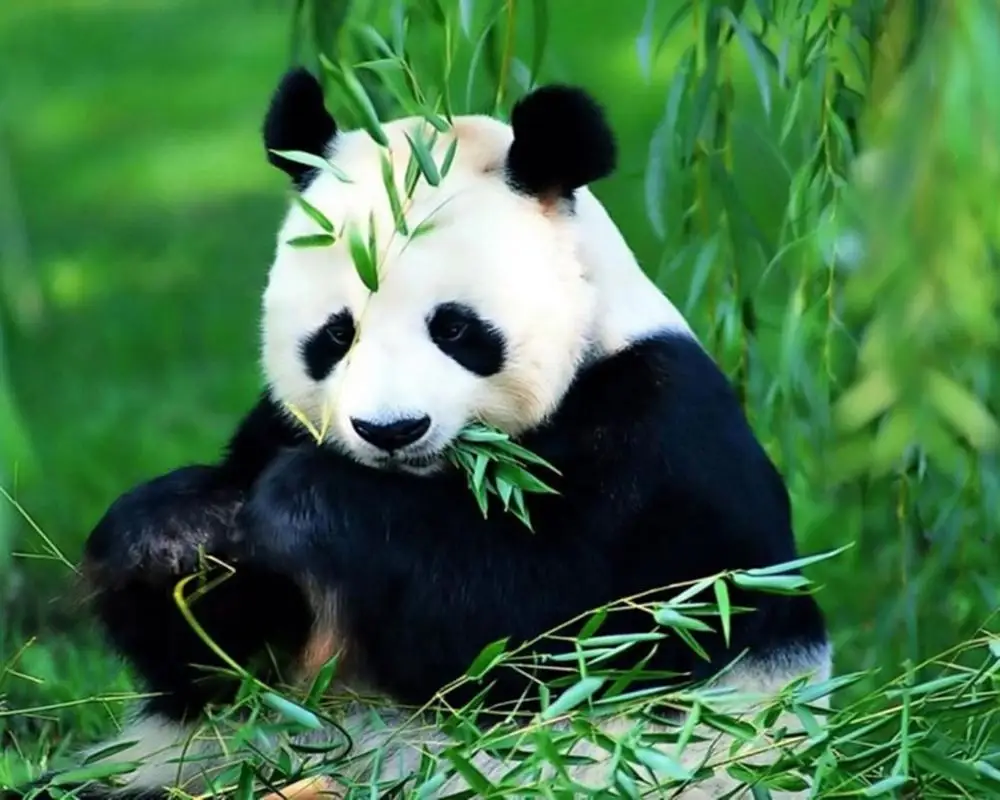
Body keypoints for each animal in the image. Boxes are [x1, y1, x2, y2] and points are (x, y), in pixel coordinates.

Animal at [6, 68, 831, 799]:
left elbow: (549, 625)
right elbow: (223, 665)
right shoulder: (274, 426)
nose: (391, 430)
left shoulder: (661, 439)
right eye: (336, 334)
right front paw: (177, 532)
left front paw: (308, 502)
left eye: (456, 328)